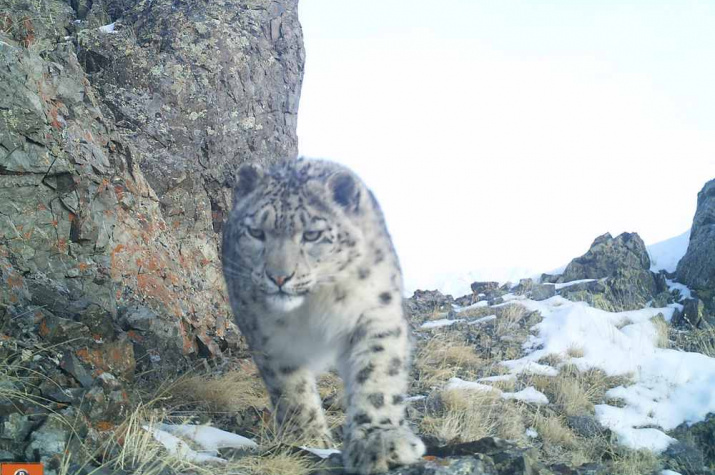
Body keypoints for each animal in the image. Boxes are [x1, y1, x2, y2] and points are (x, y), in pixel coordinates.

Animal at [224, 159, 426, 472]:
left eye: (312, 234)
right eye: (256, 232)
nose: (279, 276)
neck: (314, 306)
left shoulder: (375, 315)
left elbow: (377, 376)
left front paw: (378, 440)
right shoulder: (270, 336)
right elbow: (291, 387)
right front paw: (308, 437)